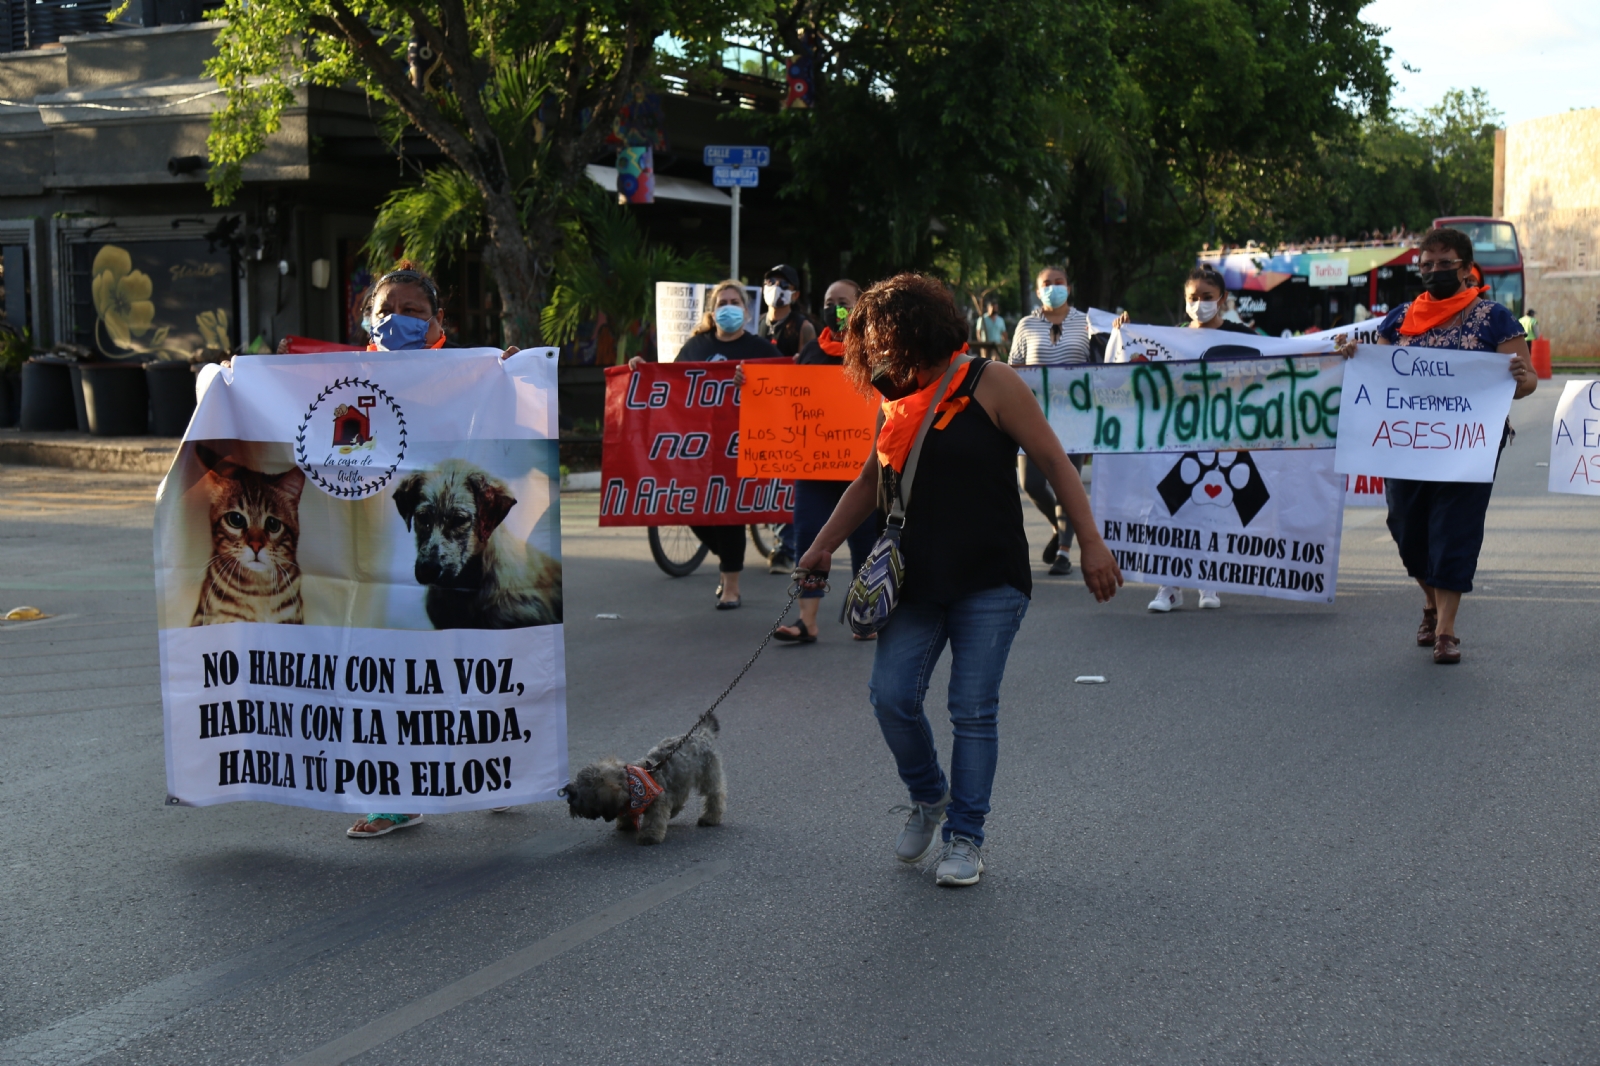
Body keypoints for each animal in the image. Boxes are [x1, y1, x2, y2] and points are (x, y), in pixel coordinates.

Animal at [566, 710, 729, 845]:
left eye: (583, 796)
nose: (568, 796)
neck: (633, 784)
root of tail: (702, 736)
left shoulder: (658, 801)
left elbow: (653, 820)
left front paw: (649, 835)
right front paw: (626, 822)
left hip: (708, 777)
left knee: (715, 796)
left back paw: (710, 817)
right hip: (681, 781)